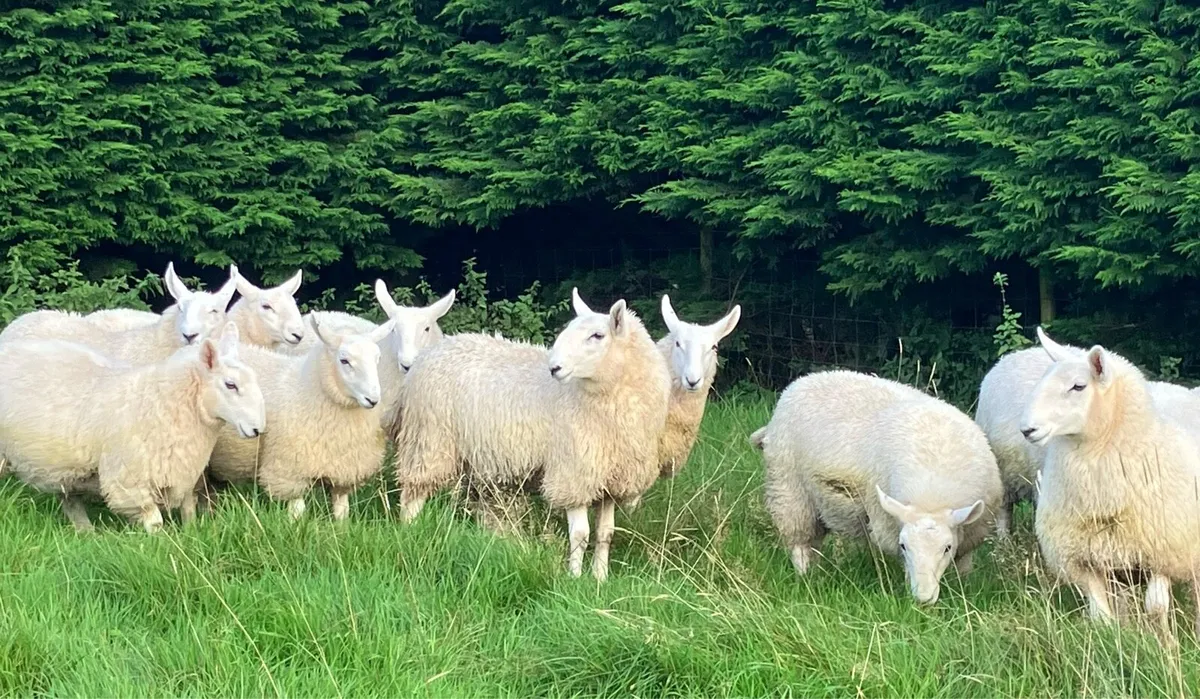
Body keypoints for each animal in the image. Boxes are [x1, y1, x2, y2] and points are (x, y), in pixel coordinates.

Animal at [0, 323, 264, 532]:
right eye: (230, 385)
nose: (258, 429)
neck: (165, 401)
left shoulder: (184, 474)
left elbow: (189, 512)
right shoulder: (129, 482)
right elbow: (155, 523)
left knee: (71, 502)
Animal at [207, 317, 395, 520]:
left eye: (377, 359)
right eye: (344, 360)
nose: (373, 399)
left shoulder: (345, 470)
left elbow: (341, 509)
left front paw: (341, 525)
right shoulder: (291, 470)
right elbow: (297, 510)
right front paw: (296, 524)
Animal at [394, 288, 671, 580]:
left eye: (597, 335)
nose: (555, 368)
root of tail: (434, 350)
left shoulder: (609, 479)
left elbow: (605, 534)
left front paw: (600, 578)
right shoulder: (573, 472)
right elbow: (580, 535)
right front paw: (574, 578)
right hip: (428, 439)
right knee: (412, 495)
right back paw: (410, 532)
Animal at [752, 370, 1002, 604]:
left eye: (947, 547)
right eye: (903, 546)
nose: (923, 599)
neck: (932, 493)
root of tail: (803, 380)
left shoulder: (971, 534)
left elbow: (964, 566)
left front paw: (963, 589)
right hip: (789, 491)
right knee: (800, 543)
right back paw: (805, 577)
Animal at [1021, 327, 1200, 634]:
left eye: (1078, 386)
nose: (1027, 429)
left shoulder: (1164, 549)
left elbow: (1156, 607)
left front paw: (1165, 641)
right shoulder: (1084, 559)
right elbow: (1101, 616)